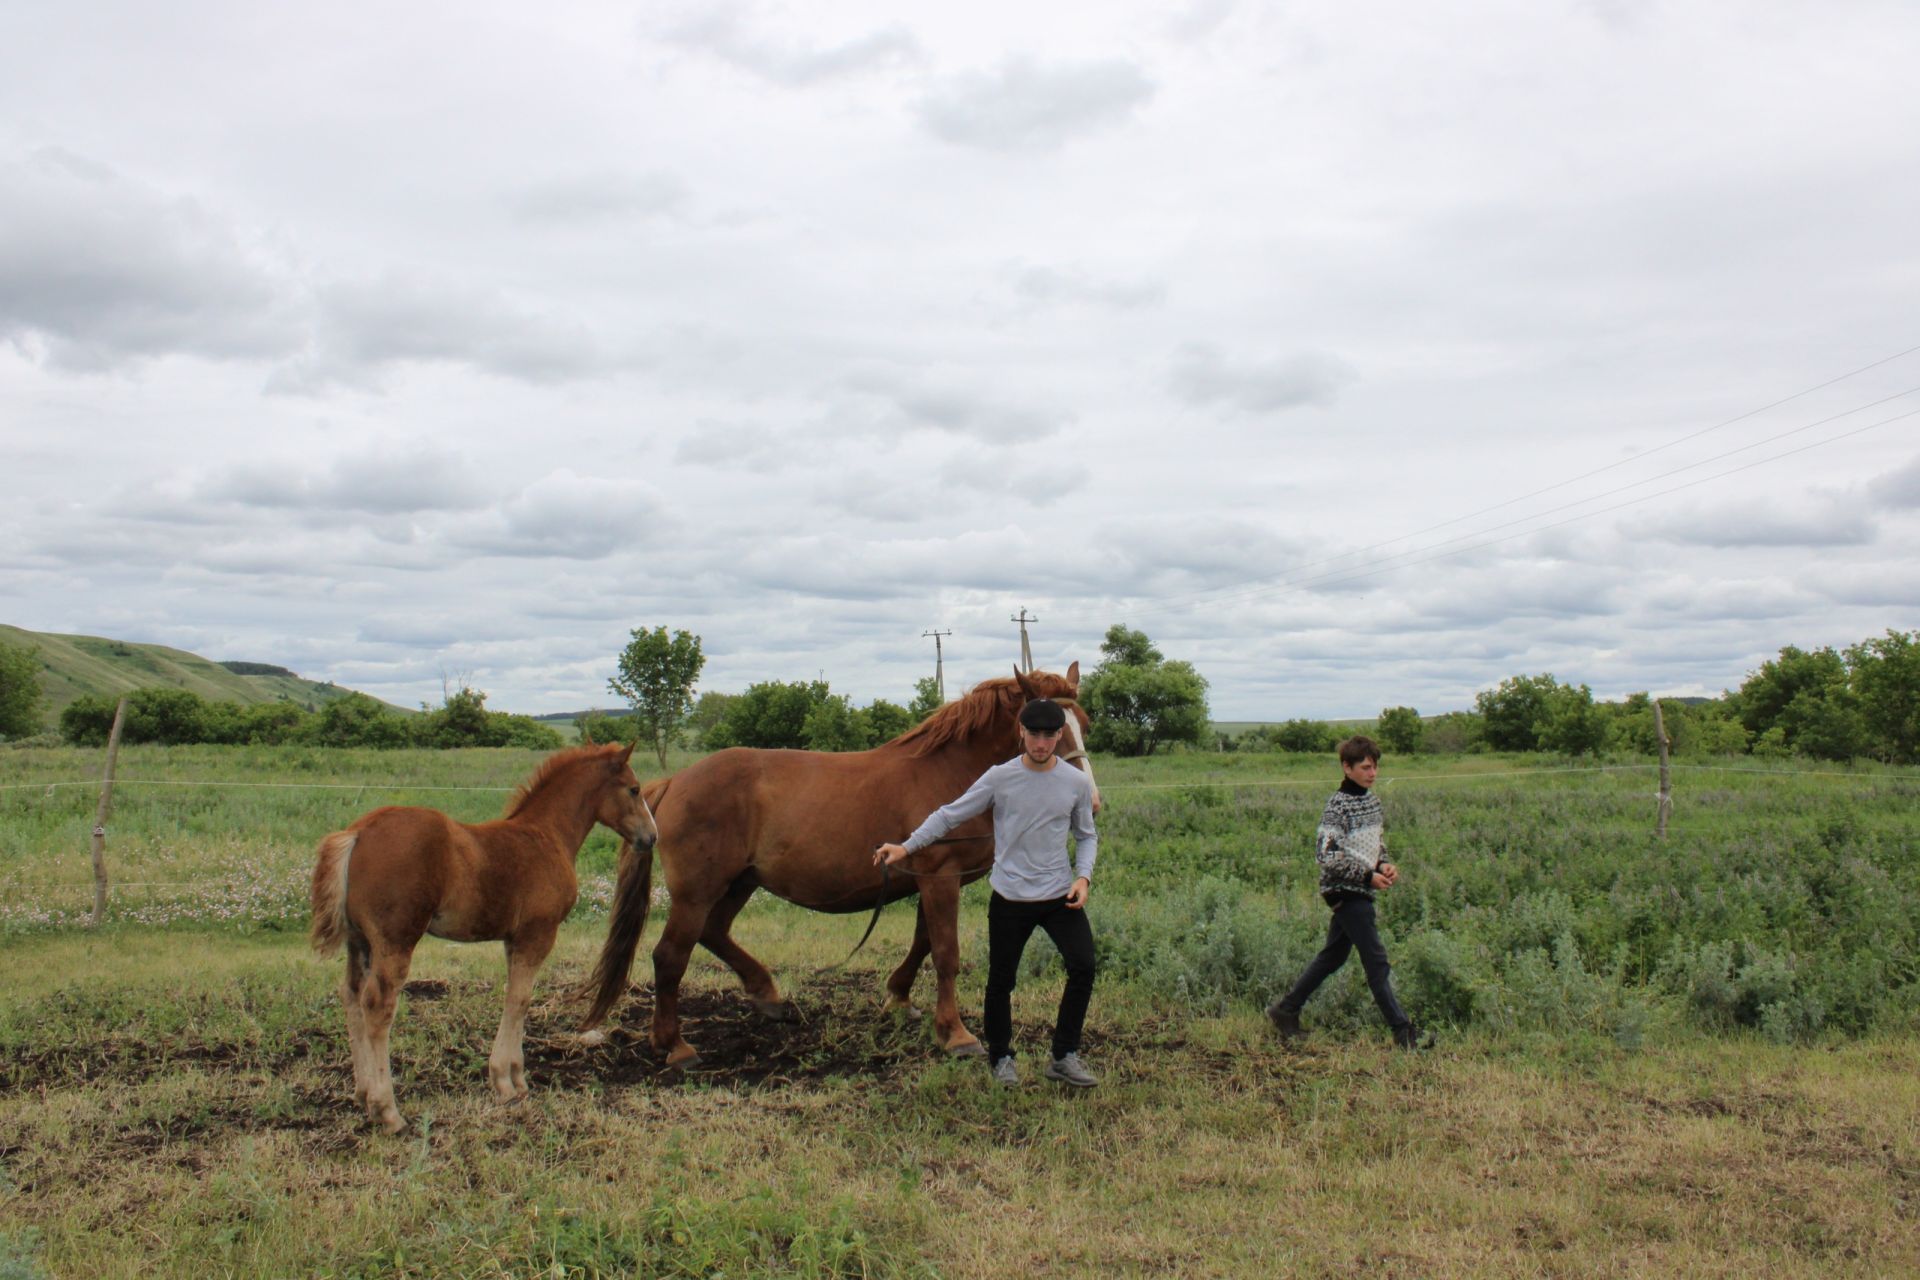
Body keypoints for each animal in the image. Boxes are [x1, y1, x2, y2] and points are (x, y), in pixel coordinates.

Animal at [307, 744, 652, 1136]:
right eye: (634, 789)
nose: (651, 836)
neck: (545, 835)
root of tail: (357, 832)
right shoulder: (538, 933)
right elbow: (519, 999)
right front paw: (506, 1083)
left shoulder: (513, 939)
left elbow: (515, 997)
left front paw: (515, 1078)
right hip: (395, 940)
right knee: (377, 1005)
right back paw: (387, 1111)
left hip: (359, 942)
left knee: (351, 997)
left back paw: (363, 1095)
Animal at [576, 667, 1098, 1066]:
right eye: (1042, 728)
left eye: (1084, 723)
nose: (1088, 802)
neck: (948, 774)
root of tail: (674, 782)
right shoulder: (941, 877)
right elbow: (945, 953)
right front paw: (954, 1033)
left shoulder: (926, 879)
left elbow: (923, 943)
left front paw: (899, 997)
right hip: (697, 891)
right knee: (670, 956)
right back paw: (675, 1044)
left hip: (738, 883)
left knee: (714, 932)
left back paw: (767, 995)